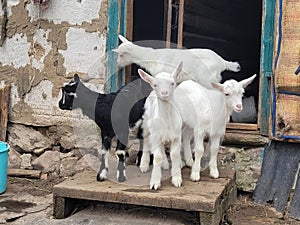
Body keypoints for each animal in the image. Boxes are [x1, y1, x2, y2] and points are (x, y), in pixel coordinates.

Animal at [138, 62, 183, 190]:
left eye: (172, 83)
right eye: (155, 84)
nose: (164, 93)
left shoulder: (177, 136)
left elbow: (174, 154)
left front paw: (176, 178)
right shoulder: (155, 136)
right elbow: (156, 157)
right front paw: (155, 181)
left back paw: (165, 163)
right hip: (146, 125)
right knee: (146, 142)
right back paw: (144, 165)